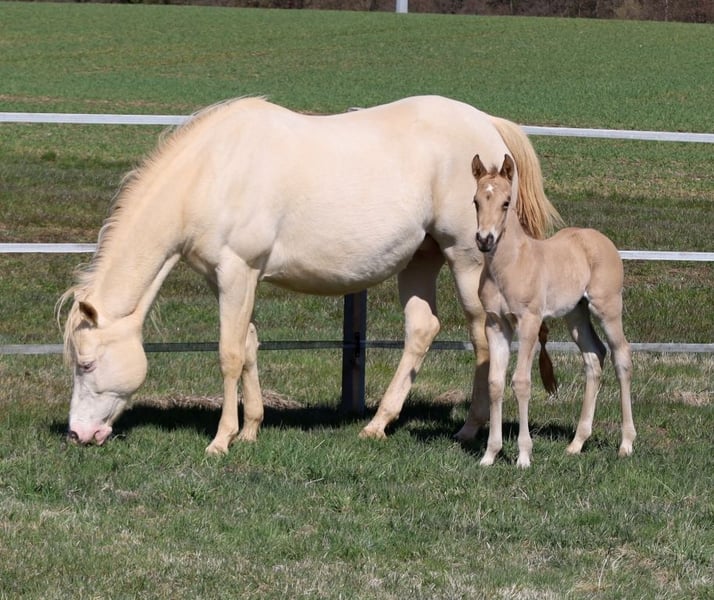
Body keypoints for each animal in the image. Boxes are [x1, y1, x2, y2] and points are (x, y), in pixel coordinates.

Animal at [58, 95, 561, 455]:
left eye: (86, 363)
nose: (78, 435)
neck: (213, 172)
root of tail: (489, 125)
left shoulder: (237, 272)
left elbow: (229, 354)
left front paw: (221, 440)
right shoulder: (232, 280)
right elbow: (249, 345)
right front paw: (251, 429)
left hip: (467, 258)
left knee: (482, 338)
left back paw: (470, 430)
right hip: (422, 257)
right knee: (422, 329)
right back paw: (377, 425)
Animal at [471, 153, 636, 468]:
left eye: (506, 202)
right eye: (475, 201)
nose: (485, 240)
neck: (511, 264)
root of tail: (601, 240)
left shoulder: (529, 321)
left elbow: (521, 382)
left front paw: (524, 456)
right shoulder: (496, 324)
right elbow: (495, 383)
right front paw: (489, 455)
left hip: (607, 307)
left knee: (621, 355)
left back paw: (626, 443)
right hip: (576, 313)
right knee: (594, 356)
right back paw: (577, 443)